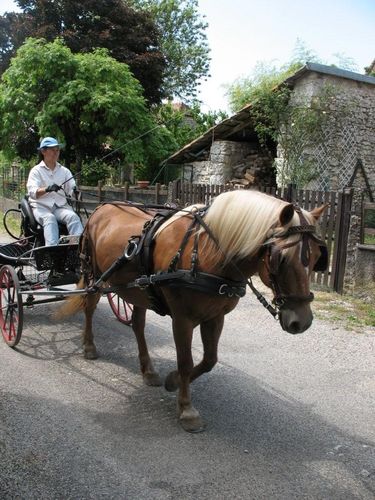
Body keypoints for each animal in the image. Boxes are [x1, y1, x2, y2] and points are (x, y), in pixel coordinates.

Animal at [57, 189, 328, 432]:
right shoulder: (182, 319)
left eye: (317, 257)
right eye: (280, 258)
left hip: (140, 291)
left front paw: (173, 380)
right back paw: (89, 346)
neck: (207, 252)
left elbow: (209, 360)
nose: (302, 321)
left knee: (137, 325)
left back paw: (148, 370)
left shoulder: (215, 317)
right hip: (94, 276)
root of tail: (100, 209)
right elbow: (186, 361)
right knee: (90, 307)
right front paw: (186, 409)